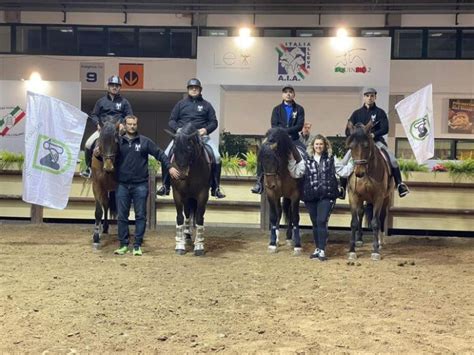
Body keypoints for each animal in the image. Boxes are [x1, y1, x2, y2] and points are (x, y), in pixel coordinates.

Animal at [168, 122, 210, 256]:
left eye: (189, 149)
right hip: (186, 197)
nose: (180, 175)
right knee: (186, 214)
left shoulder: (203, 194)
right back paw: (186, 237)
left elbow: (199, 218)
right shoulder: (177, 193)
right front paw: (179, 245)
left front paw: (199, 246)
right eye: (174, 149)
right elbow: (180, 217)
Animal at [258, 128, 302, 256]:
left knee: (290, 214)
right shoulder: (271, 194)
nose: (270, 185)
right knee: (280, 212)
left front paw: (297, 246)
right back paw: (278, 239)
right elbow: (273, 216)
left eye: (275, 160)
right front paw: (272, 243)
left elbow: (295, 217)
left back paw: (289, 239)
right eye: (261, 161)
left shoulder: (295, 195)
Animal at [346, 121, 394, 260]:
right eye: (350, 147)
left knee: (381, 217)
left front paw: (375, 251)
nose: (359, 173)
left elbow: (375, 222)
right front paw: (352, 251)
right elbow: (354, 222)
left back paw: (380, 242)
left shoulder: (379, 197)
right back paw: (359, 240)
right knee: (361, 212)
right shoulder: (353, 196)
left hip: (386, 199)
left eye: (366, 146)